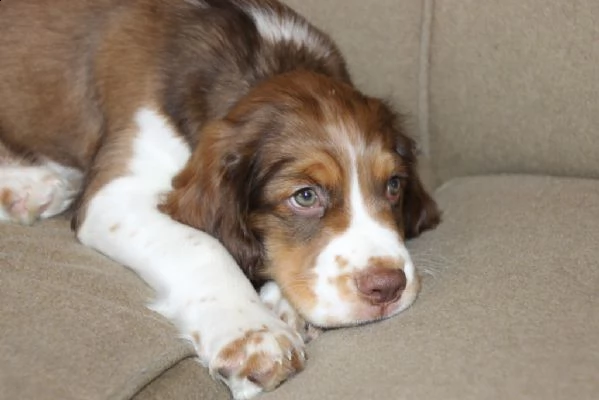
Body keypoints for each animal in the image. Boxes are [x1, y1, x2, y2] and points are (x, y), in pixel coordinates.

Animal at [0, 0, 440, 396]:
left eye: (394, 185)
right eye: (305, 196)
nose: (387, 287)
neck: (264, 58)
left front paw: (283, 306)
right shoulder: (115, 195)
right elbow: (203, 245)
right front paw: (254, 336)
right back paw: (25, 185)